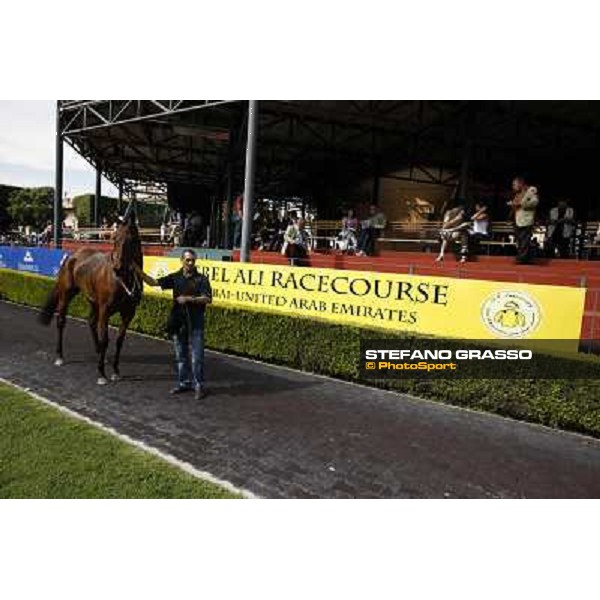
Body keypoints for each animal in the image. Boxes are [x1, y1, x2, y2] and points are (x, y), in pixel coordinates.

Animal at [39, 206, 144, 384]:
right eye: (115, 238)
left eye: (131, 240)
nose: (117, 268)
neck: (122, 281)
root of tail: (73, 256)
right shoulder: (105, 309)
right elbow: (105, 339)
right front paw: (101, 373)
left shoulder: (128, 312)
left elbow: (119, 340)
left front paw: (115, 371)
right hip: (67, 293)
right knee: (61, 321)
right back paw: (60, 356)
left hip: (93, 300)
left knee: (91, 322)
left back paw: (99, 354)